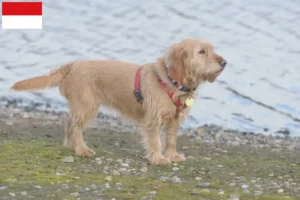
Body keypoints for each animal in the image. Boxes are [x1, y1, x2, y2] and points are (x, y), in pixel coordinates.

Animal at [11, 39, 227, 166]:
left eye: (212, 49)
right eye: (202, 51)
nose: (224, 62)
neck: (171, 81)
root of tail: (72, 64)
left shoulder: (174, 121)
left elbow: (171, 140)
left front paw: (173, 155)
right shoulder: (153, 120)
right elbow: (156, 141)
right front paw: (159, 158)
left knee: (69, 123)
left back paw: (72, 146)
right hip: (86, 107)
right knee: (74, 126)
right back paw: (81, 149)